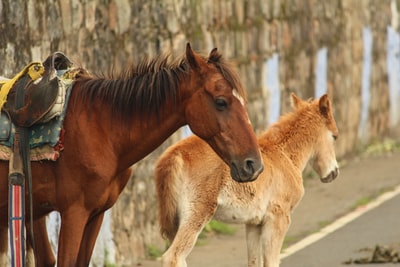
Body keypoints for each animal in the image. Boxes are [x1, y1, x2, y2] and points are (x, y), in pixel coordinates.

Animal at [155, 93, 340, 267]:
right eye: (334, 136)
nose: (334, 172)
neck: (284, 154)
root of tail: (174, 155)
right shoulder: (279, 217)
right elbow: (271, 261)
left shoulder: (254, 223)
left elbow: (254, 261)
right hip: (196, 213)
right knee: (173, 257)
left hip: (176, 221)